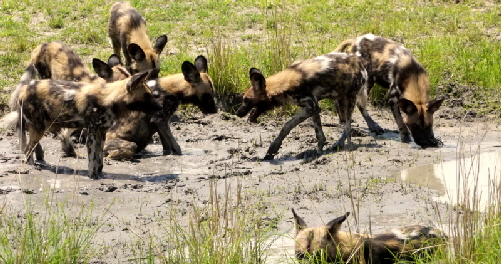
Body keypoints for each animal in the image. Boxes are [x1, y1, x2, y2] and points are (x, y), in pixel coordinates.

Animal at [0, 69, 160, 179]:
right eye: (147, 95)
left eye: (151, 94)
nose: (159, 107)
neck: (111, 99)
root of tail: (24, 88)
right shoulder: (92, 134)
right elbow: (93, 160)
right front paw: (93, 178)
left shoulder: (101, 134)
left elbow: (99, 160)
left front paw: (100, 175)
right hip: (39, 128)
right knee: (27, 150)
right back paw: (33, 169)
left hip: (38, 127)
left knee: (30, 148)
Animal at [234, 52, 368, 160]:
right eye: (243, 99)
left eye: (246, 100)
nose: (237, 113)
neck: (283, 86)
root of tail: (359, 61)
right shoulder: (314, 108)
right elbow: (319, 134)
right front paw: (318, 151)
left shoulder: (310, 107)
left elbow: (287, 125)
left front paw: (272, 149)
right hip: (341, 100)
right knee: (347, 125)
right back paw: (345, 145)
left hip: (350, 98)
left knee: (348, 125)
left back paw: (340, 145)